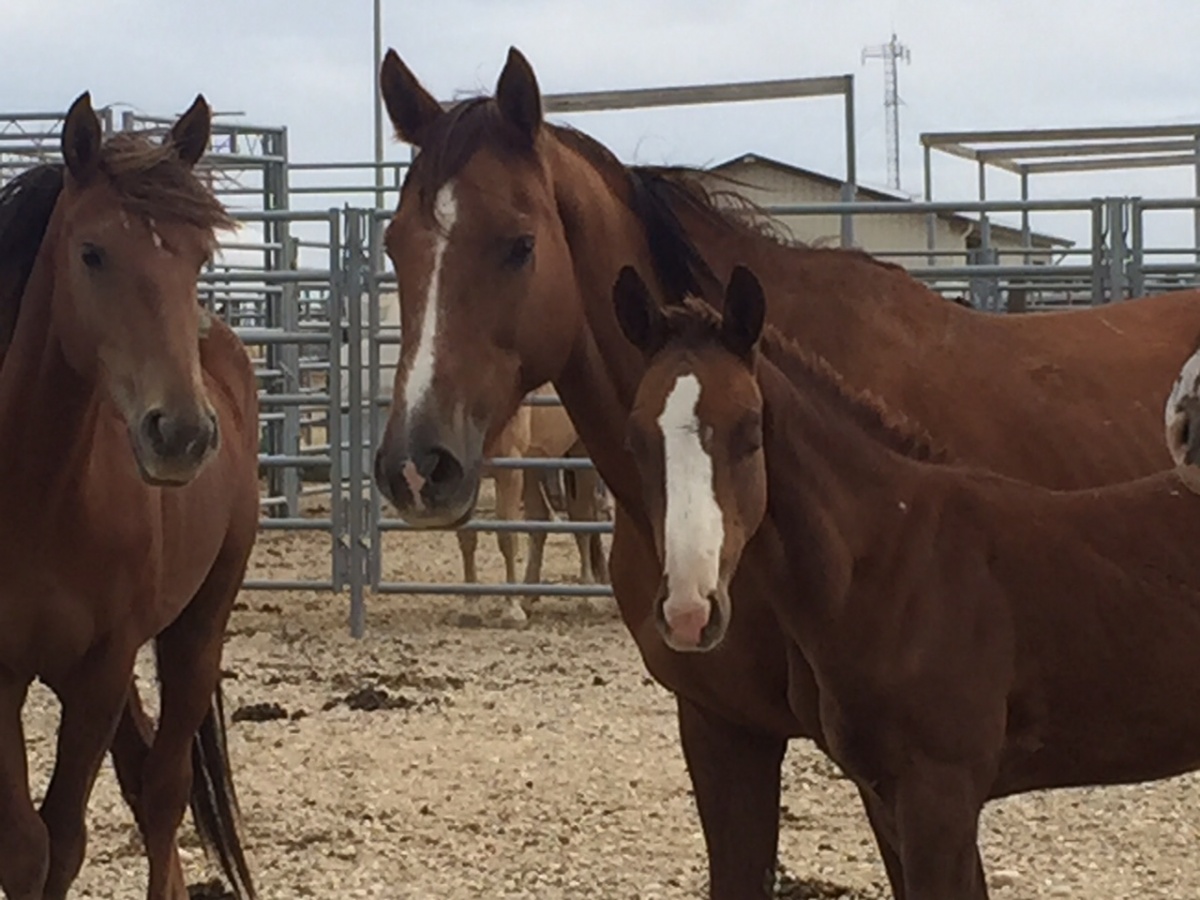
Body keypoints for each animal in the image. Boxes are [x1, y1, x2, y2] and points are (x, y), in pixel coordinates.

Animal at [0, 95, 260, 900]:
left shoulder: (102, 669)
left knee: (164, 790)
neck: (36, 493)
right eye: (92, 253)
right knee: (143, 776)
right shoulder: (3, 672)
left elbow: (61, 842)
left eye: (200, 257)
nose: (181, 433)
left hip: (194, 631)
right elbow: (25, 849)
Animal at [614, 266, 1200, 900]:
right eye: (636, 437)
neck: (890, 564)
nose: (689, 611)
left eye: (749, 429)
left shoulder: (939, 793)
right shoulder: (889, 795)